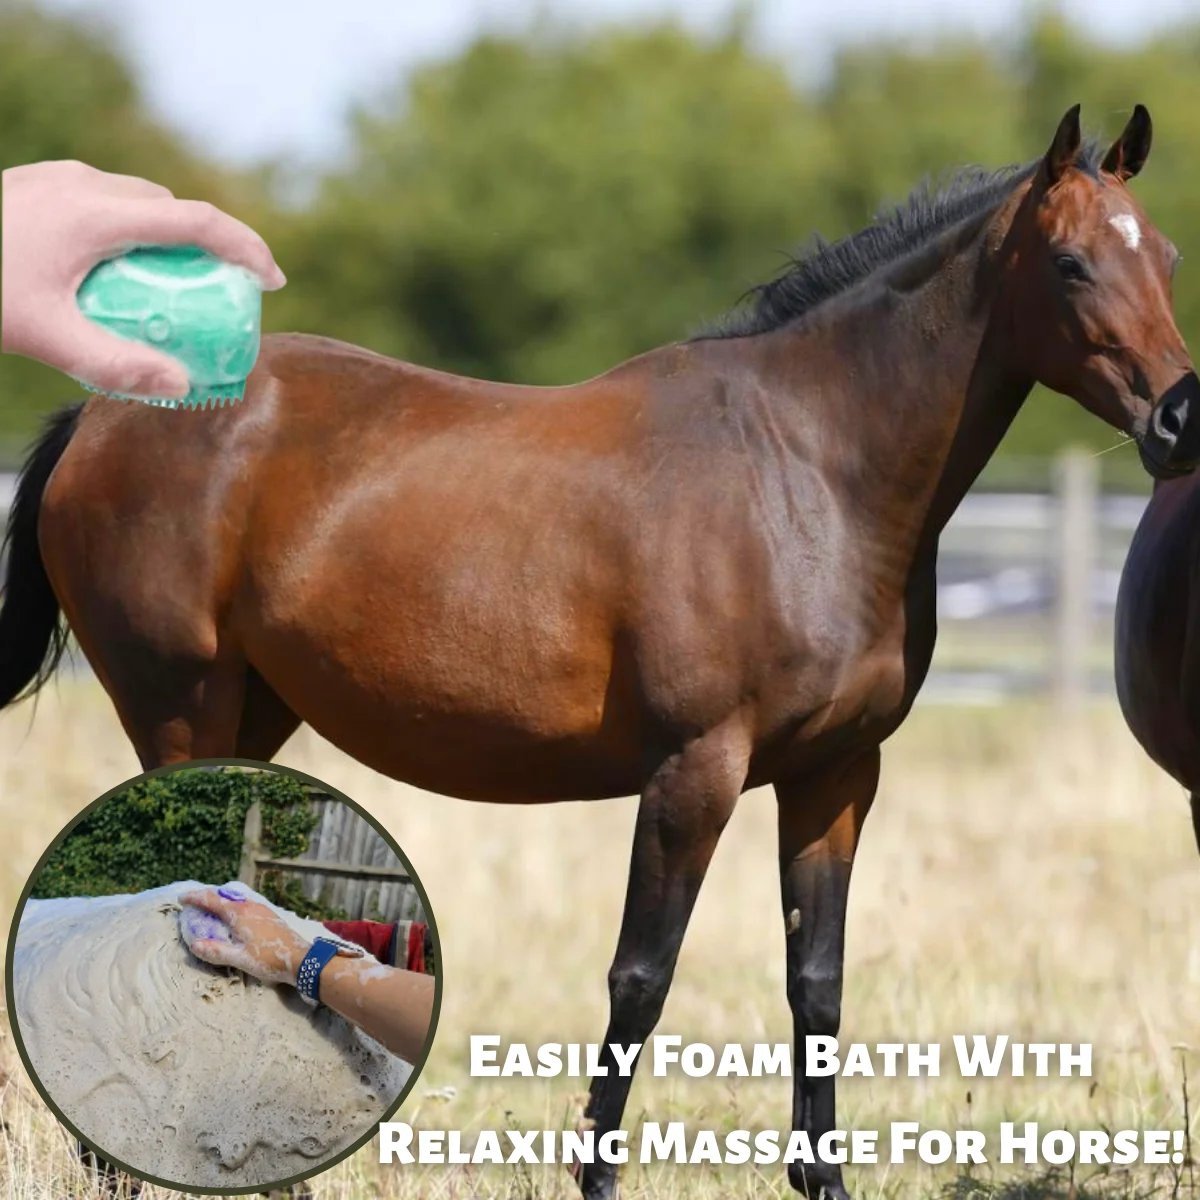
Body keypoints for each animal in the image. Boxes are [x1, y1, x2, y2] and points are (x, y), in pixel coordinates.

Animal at [2, 105, 1197, 1200]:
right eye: (1073, 263)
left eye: (1168, 257)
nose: (1181, 419)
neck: (805, 470)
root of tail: (101, 417)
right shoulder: (695, 771)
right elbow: (642, 975)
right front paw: (597, 1175)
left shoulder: (835, 776)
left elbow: (817, 978)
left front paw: (822, 1180)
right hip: (179, 704)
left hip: (255, 707)